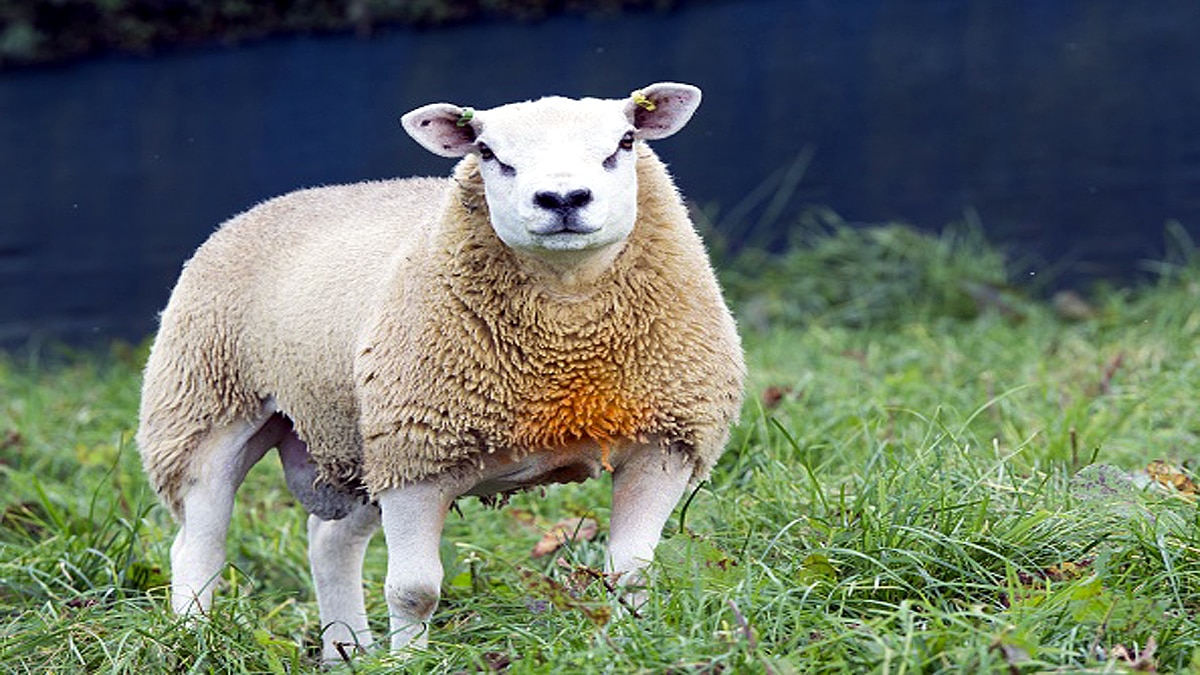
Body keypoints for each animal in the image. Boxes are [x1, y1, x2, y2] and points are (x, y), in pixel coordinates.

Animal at [136, 82, 745, 661]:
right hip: (205, 407)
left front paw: (629, 643)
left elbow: (632, 572)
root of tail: (266, 205)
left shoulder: (664, 443)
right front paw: (408, 662)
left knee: (328, 541)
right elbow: (414, 591)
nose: (562, 199)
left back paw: (346, 651)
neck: (567, 330)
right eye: (487, 152)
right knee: (198, 546)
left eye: (625, 142)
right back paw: (193, 639)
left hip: (358, 439)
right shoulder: (417, 456)